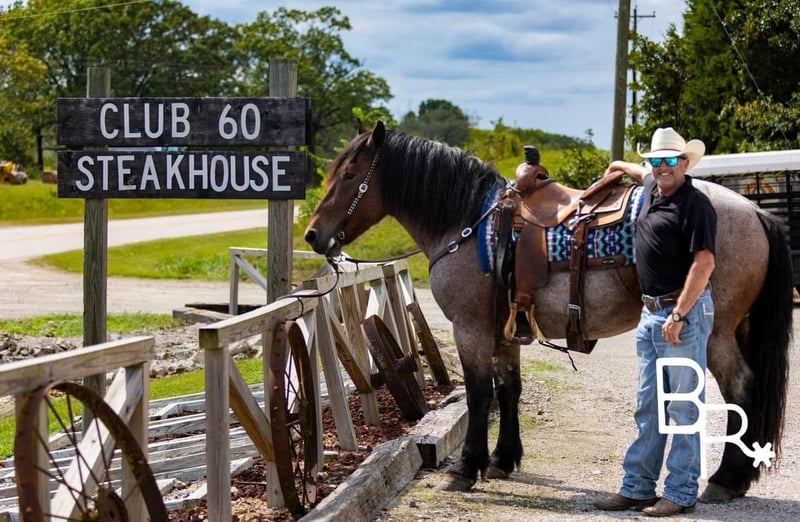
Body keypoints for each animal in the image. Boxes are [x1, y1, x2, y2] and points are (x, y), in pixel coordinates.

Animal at [304, 121, 793, 503]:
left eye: (349, 174)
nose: (312, 235)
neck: (469, 226)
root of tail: (755, 211)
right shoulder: (505, 329)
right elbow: (508, 390)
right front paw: (502, 459)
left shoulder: (470, 330)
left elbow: (479, 394)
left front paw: (465, 468)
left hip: (716, 333)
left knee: (741, 388)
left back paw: (725, 479)